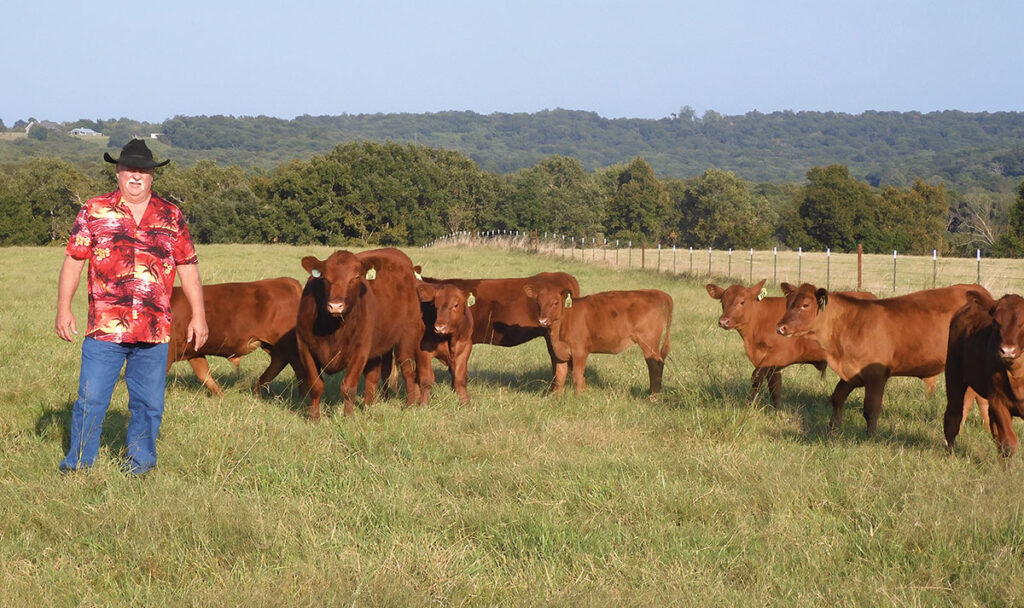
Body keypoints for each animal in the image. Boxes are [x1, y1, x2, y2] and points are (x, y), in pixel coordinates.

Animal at [167, 276, 301, 395]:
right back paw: (257, 392)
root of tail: (286, 281)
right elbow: (204, 374)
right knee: (279, 361)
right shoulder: (195, 352)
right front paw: (220, 397)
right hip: (273, 345)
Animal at [294, 245, 425, 417]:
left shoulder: (360, 350)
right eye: (325, 278)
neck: (333, 329)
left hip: (407, 336)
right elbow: (316, 386)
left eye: (355, 278)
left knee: (408, 370)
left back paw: (410, 406)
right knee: (373, 378)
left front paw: (348, 417)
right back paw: (367, 408)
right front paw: (314, 418)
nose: (336, 306)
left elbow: (348, 387)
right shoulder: (305, 347)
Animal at [774, 282, 991, 433]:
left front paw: (870, 437)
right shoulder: (852, 374)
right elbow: (837, 397)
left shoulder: (876, 375)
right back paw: (986, 427)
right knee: (980, 398)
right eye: (788, 303)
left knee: (969, 400)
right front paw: (834, 429)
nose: (780, 327)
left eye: (805, 305)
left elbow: (871, 408)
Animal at [942, 290, 1024, 456]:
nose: (1008, 351)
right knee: (953, 417)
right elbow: (1009, 444)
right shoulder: (998, 400)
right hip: (954, 376)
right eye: (996, 321)